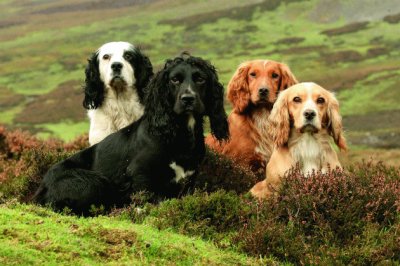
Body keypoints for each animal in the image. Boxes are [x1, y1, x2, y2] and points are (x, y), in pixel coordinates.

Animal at [35, 53, 228, 214]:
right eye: (175, 80)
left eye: (201, 79)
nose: (188, 99)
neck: (178, 132)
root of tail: (42, 187)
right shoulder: (139, 174)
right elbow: (154, 201)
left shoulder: (189, 180)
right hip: (93, 182)